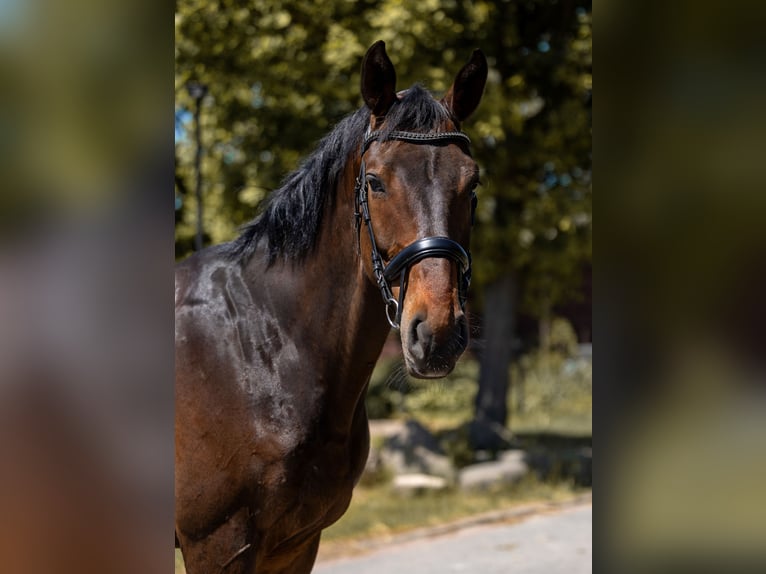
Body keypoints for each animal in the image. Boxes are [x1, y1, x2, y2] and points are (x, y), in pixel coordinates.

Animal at [175, 41, 487, 574]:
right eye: (376, 182)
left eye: (471, 185)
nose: (438, 334)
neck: (259, 349)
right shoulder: (217, 547)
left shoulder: (297, 543)